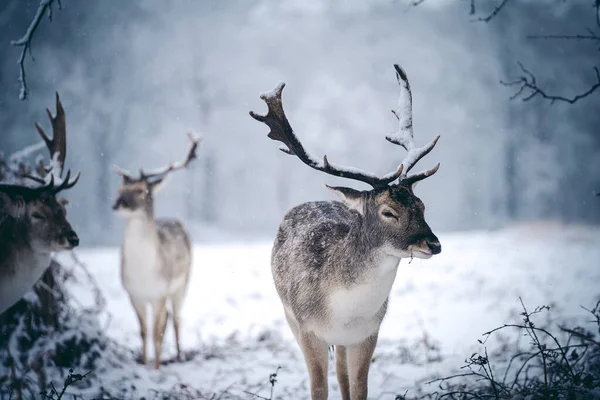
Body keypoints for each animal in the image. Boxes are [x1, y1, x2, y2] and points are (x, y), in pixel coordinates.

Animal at [115, 134, 202, 368]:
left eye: (141, 190)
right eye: (119, 190)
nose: (117, 204)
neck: (144, 273)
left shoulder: (159, 292)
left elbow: (156, 333)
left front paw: (156, 368)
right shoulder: (133, 293)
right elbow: (143, 331)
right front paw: (145, 364)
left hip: (183, 284)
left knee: (176, 318)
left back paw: (179, 355)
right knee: (169, 318)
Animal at [248, 64, 440, 398]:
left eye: (421, 205)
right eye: (388, 212)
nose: (433, 244)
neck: (346, 313)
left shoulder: (369, 332)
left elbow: (359, 387)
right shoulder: (308, 328)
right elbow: (318, 387)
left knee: (342, 375)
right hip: (289, 316)